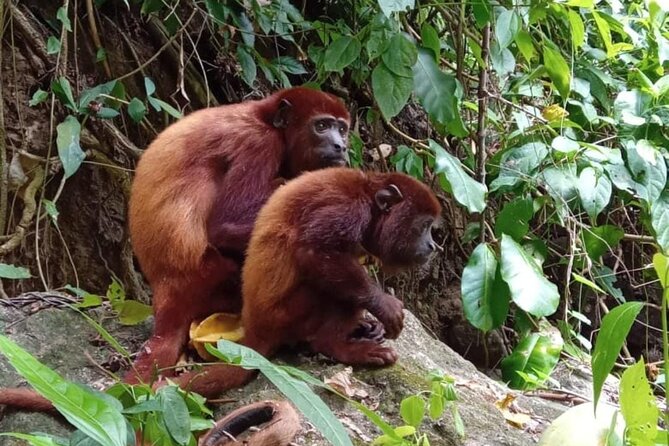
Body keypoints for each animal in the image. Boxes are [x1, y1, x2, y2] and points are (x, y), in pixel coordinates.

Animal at [0, 167, 440, 410]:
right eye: (424, 226)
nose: (434, 247)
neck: (368, 194)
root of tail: (256, 330)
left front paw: (374, 317)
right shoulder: (346, 208)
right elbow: (315, 251)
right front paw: (383, 305)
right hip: (292, 314)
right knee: (324, 279)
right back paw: (339, 345)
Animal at [126, 87, 350, 383]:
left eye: (342, 129)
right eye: (322, 126)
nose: (341, 145)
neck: (266, 118)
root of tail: (166, 292)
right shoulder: (258, 144)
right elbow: (224, 226)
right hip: (211, 277)